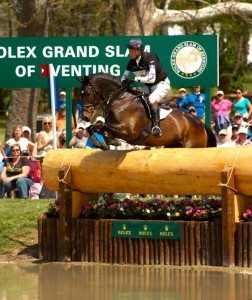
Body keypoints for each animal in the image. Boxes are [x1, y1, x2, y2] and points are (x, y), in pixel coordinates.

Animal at [79, 72, 217, 148]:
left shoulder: (128, 132)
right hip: (173, 145)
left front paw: (108, 141)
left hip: (193, 145)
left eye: (86, 93)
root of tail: (200, 123)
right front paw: (103, 143)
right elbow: (94, 127)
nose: (85, 116)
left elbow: (102, 125)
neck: (119, 100)